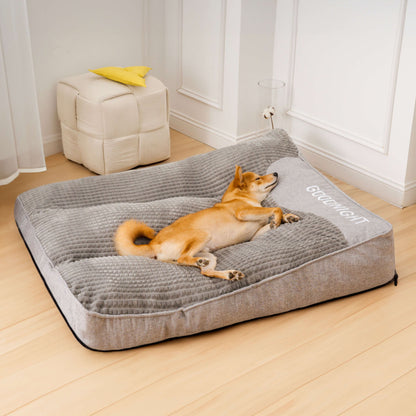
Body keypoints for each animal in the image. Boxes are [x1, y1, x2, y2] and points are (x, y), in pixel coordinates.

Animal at [114, 165, 300, 280]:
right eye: (258, 178)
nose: (275, 173)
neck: (241, 198)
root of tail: (153, 243)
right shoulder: (243, 212)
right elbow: (276, 209)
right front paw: (279, 218)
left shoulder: (255, 234)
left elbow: (272, 218)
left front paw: (287, 218)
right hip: (202, 234)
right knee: (183, 258)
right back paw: (199, 262)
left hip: (209, 254)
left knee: (205, 272)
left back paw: (228, 274)